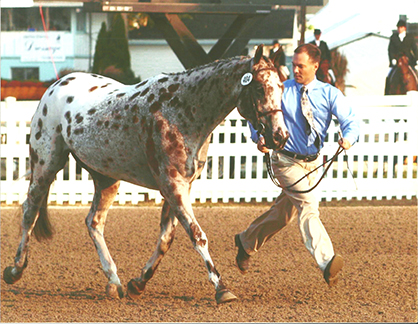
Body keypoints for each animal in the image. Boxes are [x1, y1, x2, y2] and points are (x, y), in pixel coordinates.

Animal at [3, 45, 290, 304]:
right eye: (259, 88)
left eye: (281, 86)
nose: (280, 136)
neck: (183, 109)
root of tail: (57, 84)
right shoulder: (172, 184)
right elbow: (196, 235)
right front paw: (222, 288)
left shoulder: (181, 186)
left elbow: (166, 238)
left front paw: (137, 283)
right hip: (45, 164)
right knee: (30, 212)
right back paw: (15, 270)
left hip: (106, 177)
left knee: (94, 222)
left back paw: (114, 281)